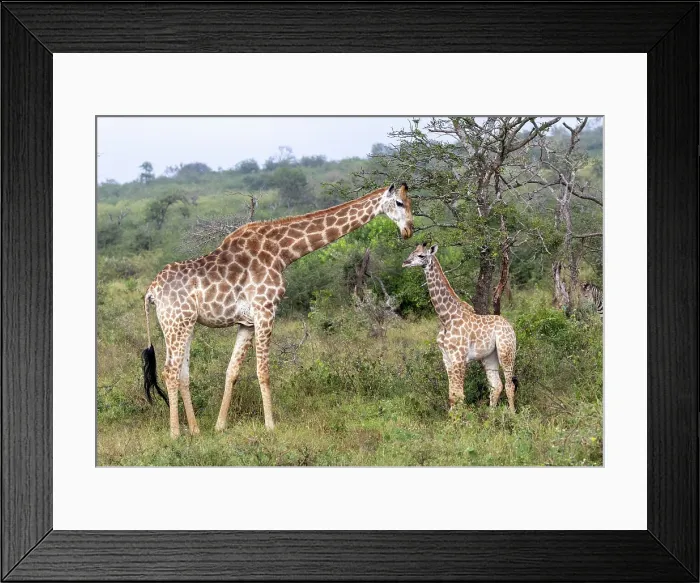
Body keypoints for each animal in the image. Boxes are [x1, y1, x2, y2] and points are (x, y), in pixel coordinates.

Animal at [142, 183, 414, 438]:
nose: (409, 230)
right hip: (176, 323)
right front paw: (270, 425)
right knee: (169, 371)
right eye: (399, 203)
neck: (283, 251)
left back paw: (196, 430)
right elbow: (263, 371)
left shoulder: (247, 322)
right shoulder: (265, 310)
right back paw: (175, 433)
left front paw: (220, 426)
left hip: (184, 324)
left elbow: (232, 371)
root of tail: (151, 290)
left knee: (182, 373)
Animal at [402, 242, 519, 412]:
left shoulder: (459, 358)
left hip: (506, 351)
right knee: (496, 385)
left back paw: (512, 415)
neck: (446, 318)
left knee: (509, 385)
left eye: (421, 255)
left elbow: (459, 396)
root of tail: (510, 326)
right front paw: (451, 418)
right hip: (489, 356)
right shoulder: (447, 358)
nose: (405, 262)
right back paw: (491, 415)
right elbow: (452, 396)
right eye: (412, 252)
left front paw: (461, 419)